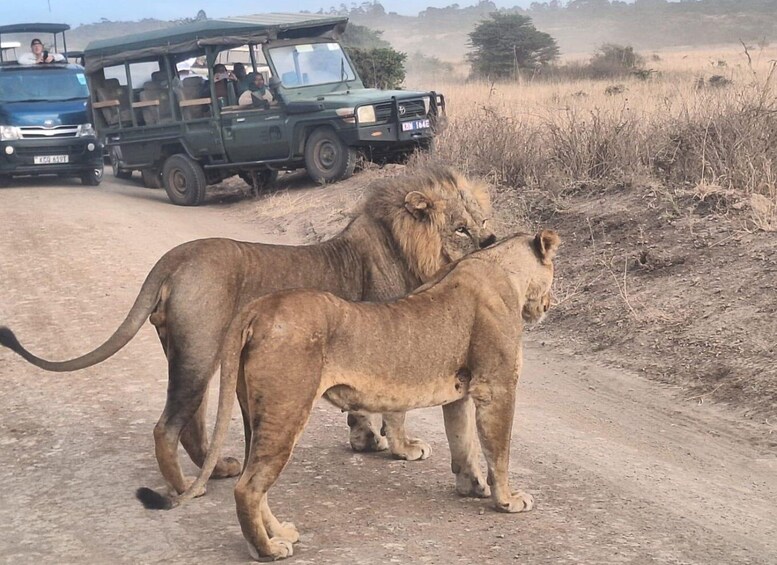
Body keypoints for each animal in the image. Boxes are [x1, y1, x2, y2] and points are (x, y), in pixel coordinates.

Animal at [0, 163, 494, 494]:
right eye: (461, 229)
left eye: (483, 222)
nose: (491, 242)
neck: (405, 248)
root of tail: (174, 258)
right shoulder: (392, 338)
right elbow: (396, 410)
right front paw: (403, 448)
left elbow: (361, 410)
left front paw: (365, 441)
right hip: (200, 351)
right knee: (167, 427)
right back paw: (189, 488)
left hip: (188, 351)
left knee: (193, 425)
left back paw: (218, 469)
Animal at [138, 229, 556, 560]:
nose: (549, 306)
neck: (499, 268)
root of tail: (258, 309)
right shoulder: (496, 386)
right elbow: (498, 451)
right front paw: (507, 500)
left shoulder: (461, 391)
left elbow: (463, 442)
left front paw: (472, 487)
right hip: (286, 409)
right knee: (247, 487)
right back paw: (267, 550)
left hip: (255, 413)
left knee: (255, 483)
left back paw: (279, 534)